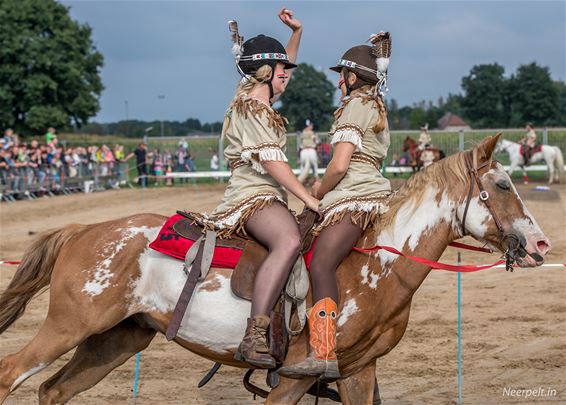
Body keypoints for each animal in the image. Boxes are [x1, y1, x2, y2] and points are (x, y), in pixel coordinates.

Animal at [0, 134, 552, 402]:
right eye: (503, 184)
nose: (541, 242)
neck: (375, 264)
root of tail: (82, 230)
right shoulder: (293, 377)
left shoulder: (358, 372)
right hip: (69, 326)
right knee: (12, 374)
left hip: (116, 339)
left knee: (52, 391)